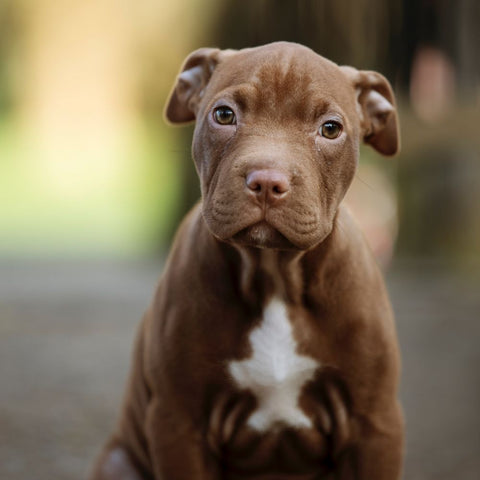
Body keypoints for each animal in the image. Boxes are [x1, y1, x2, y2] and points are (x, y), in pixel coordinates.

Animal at [89, 42, 402, 480]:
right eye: (224, 115)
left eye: (330, 129)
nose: (267, 181)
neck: (274, 275)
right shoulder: (179, 423)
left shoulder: (374, 426)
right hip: (119, 461)